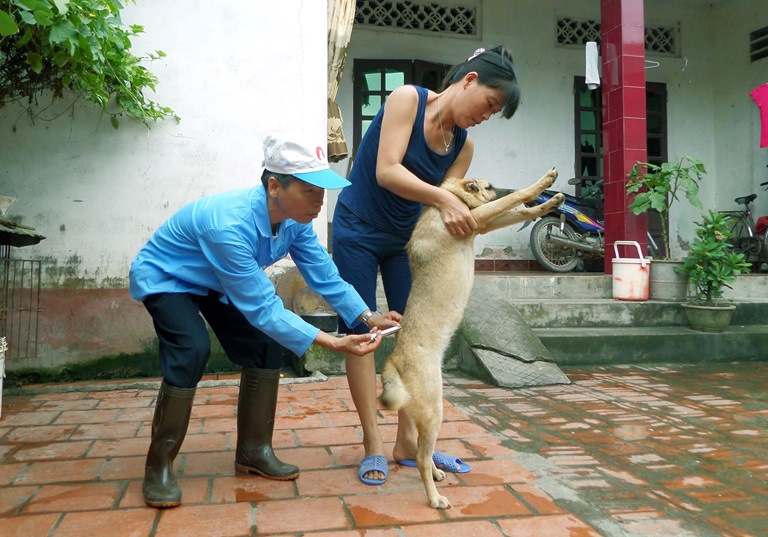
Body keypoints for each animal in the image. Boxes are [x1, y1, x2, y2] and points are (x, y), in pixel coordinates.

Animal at [380, 168, 560, 506]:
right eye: (489, 186)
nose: (509, 188)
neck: (449, 200)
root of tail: (393, 360)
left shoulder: (483, 223)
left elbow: (520, 211)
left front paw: (549, 203)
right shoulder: (477, 219)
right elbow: (514, 200)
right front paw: (541, 185)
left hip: (419, 411)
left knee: (420, 448)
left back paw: (436, 472)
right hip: (434, 409)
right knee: (421, 457)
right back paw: (434, 497)